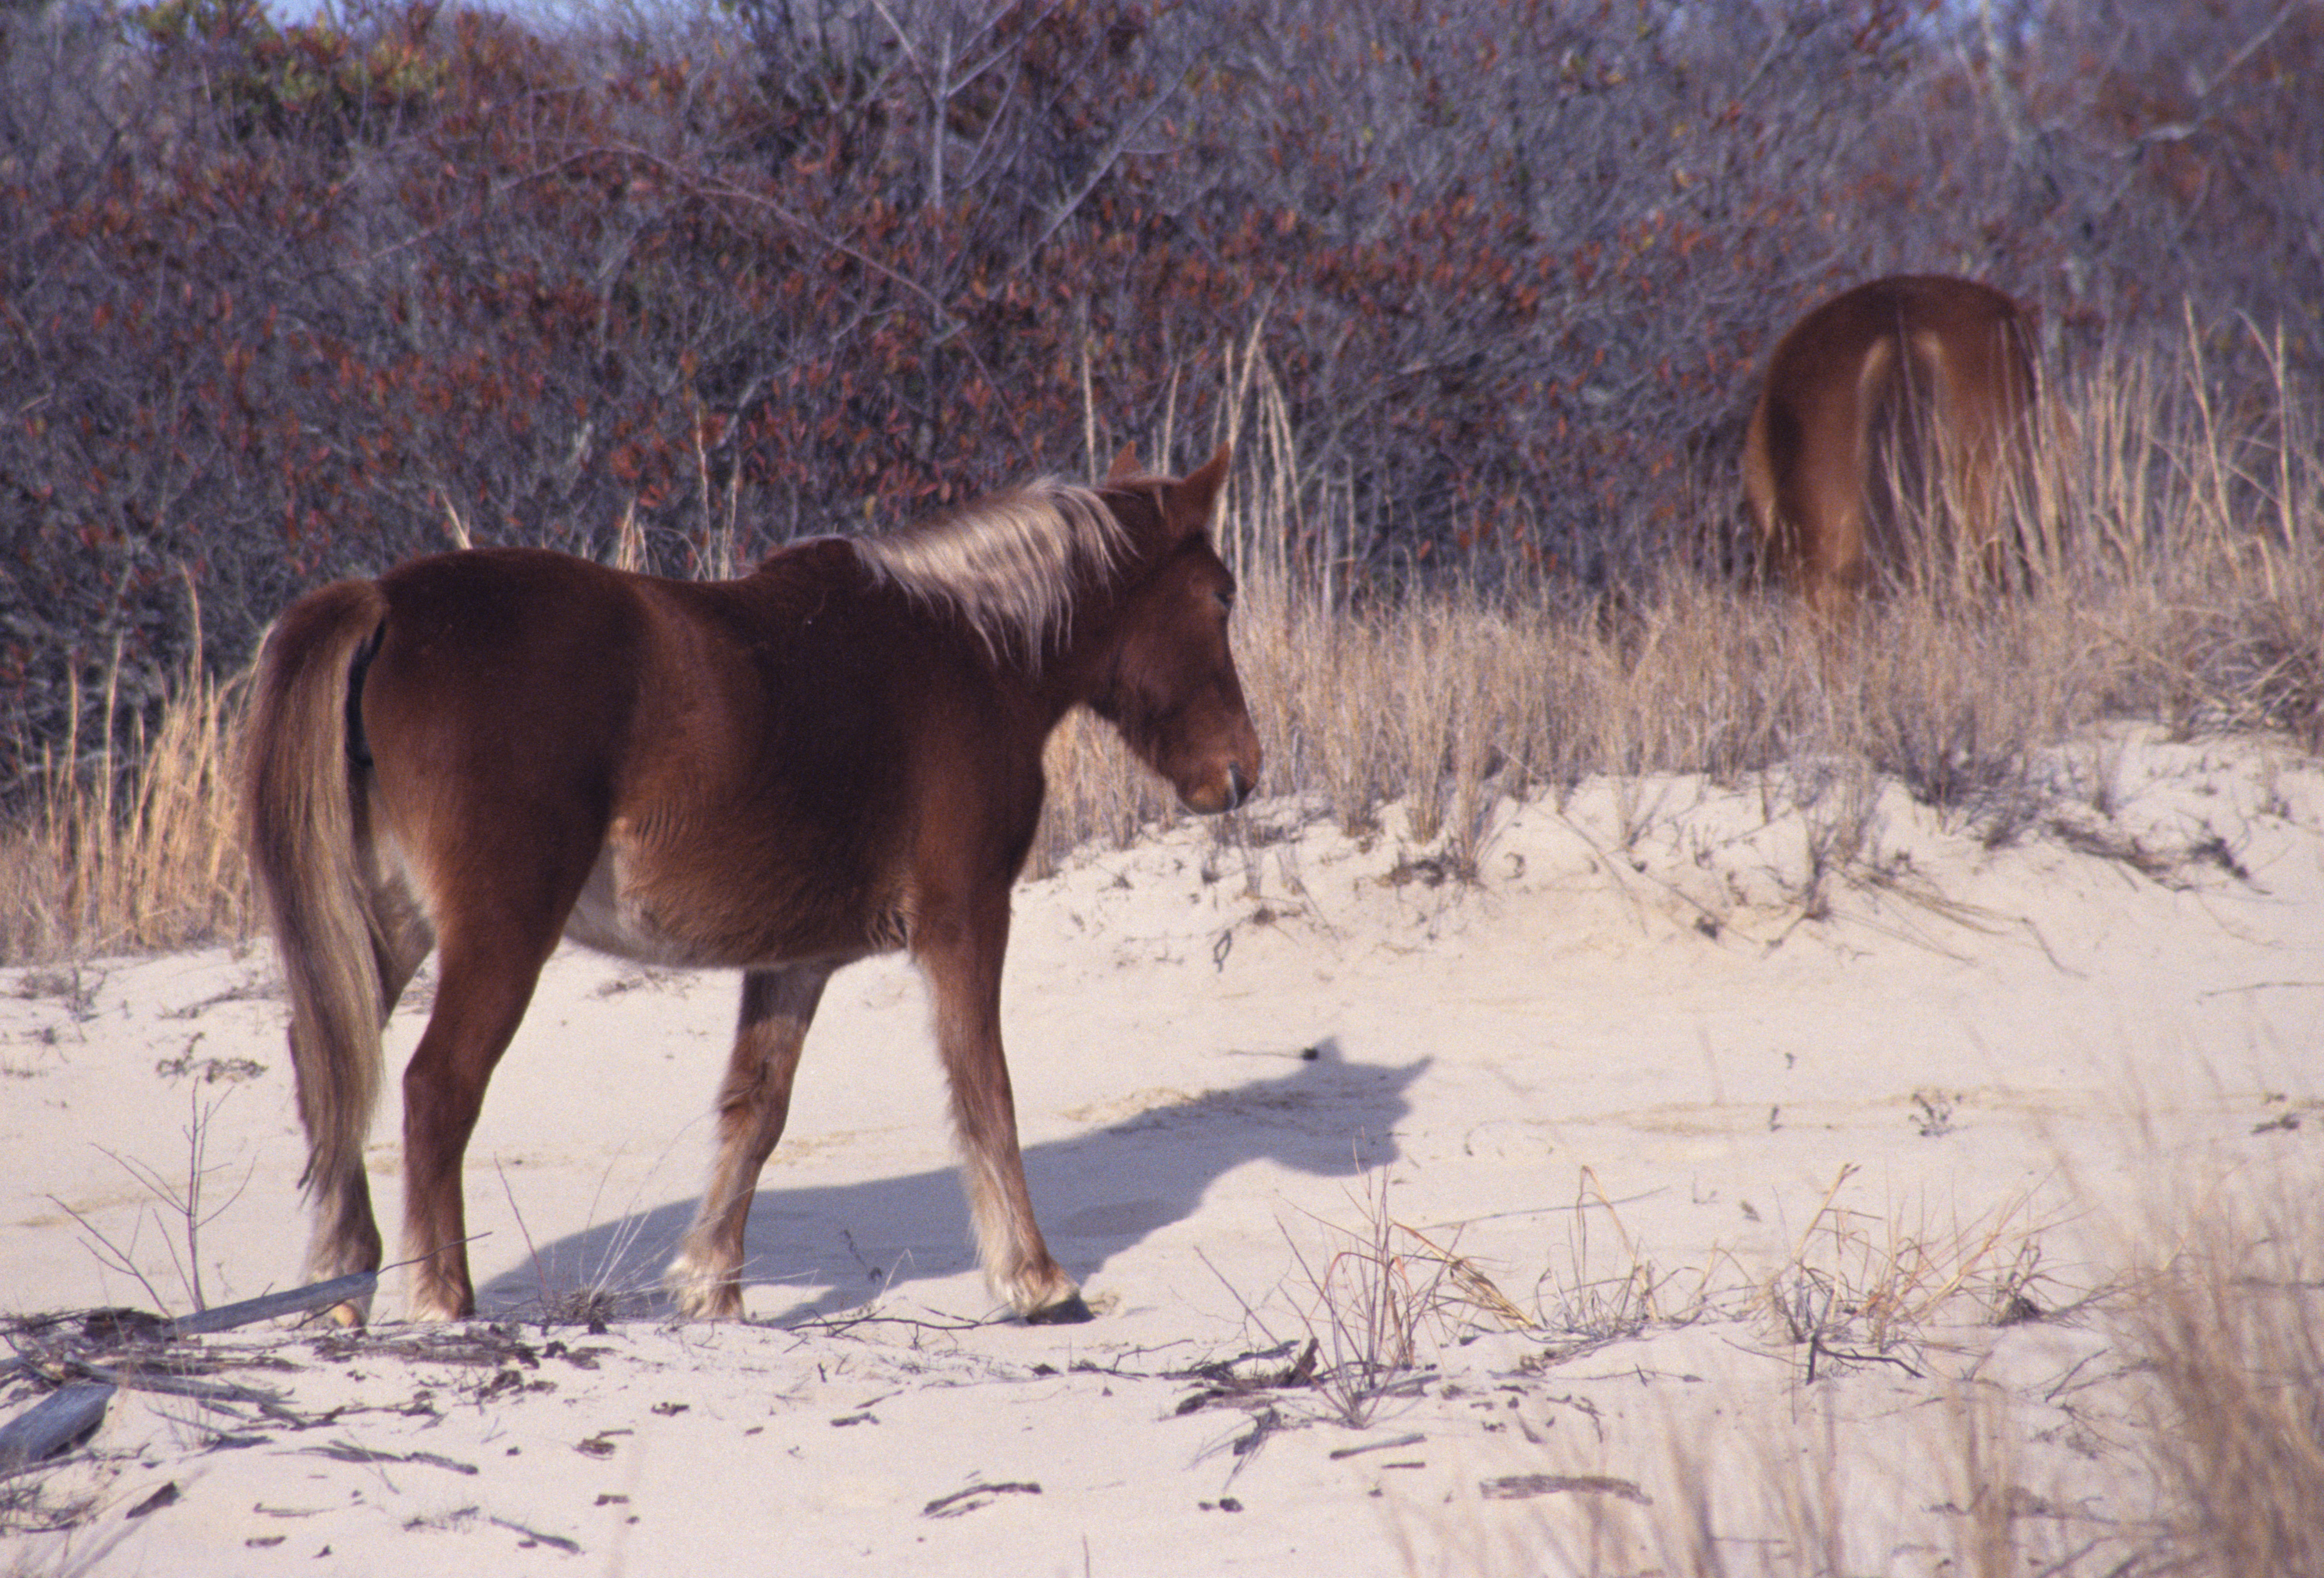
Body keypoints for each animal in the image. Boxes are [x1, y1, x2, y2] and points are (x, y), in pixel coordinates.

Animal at [245, 444, 1264, 1320]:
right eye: (1220, 595)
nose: (1241, 773)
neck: (967, 650)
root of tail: (385, 599)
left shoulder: (796, 961)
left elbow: (756, 1111)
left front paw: (712, 1285)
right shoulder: (965, 920)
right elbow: (986, 1093)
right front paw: (1035, 1280)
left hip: (390, 927)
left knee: (329, 1066)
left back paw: (341, 1281)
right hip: (499, 934)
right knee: (434, 1089)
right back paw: (440, 1300)